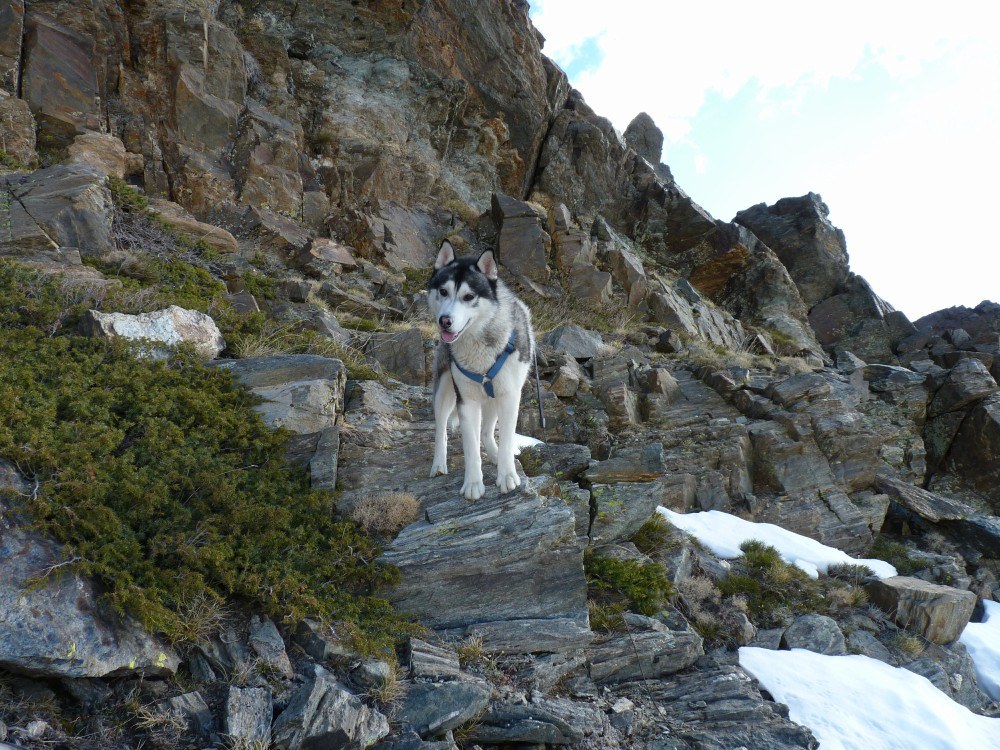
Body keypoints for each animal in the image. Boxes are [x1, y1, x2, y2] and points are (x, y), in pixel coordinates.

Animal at [428, 242, 536, 500]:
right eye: (443, 291)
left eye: (468, 297)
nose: (444, 321)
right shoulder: (466, 401)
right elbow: (470, 448)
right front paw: (473, 483)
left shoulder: (509, 396)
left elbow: (505, 439)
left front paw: (506, 475)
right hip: (444, 389)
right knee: (441, 428)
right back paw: (439, 463)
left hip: (494, 397)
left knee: (487, 432)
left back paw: (496, 457)